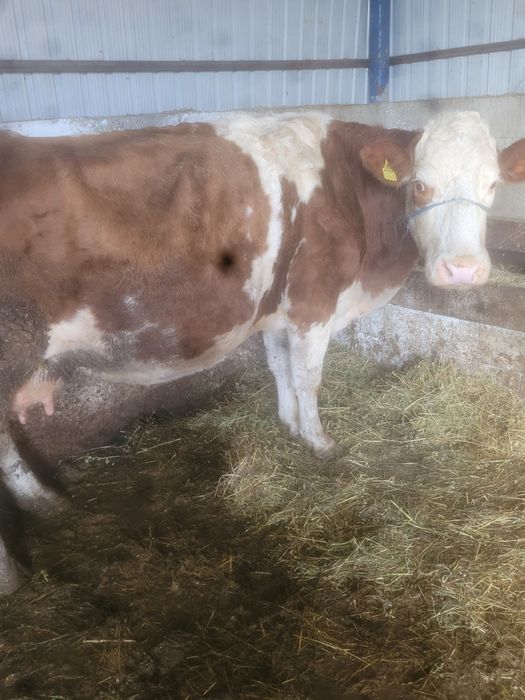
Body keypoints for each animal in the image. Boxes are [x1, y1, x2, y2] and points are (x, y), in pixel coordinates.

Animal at [0, 110, 524, 594]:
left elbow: (280, 366)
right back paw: (12, 574)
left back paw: (45, 500)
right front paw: (319, 441)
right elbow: (308, 374)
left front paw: (289, 424)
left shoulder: (278, 311)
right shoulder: (314, 302)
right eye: (419, 184)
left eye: (492, 184)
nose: (462, 270)